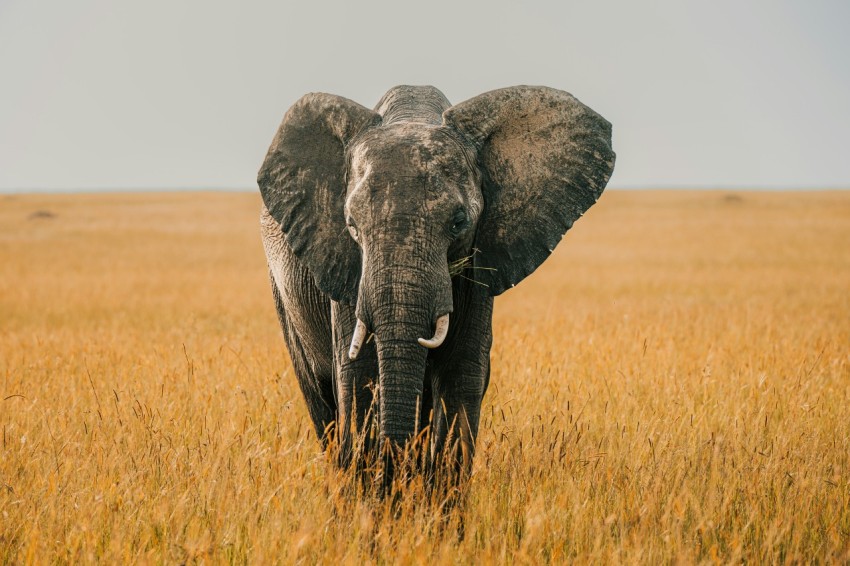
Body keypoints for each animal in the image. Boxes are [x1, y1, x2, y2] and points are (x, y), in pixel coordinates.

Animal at [255, 85, 612, 484]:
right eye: (351, 225)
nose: (393, 476)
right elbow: (358, 379)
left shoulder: (480, 262)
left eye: (459, 222)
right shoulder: (345, 268)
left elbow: (460, 378)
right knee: (319, 395)